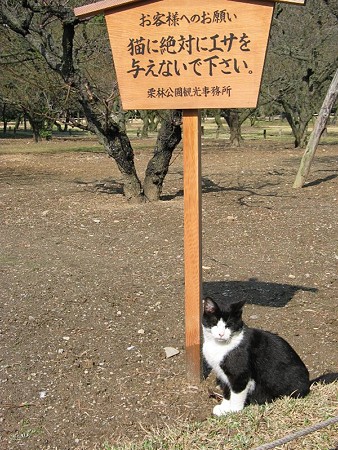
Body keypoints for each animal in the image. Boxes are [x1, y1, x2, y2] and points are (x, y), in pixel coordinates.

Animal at [202, 298, 334, 416]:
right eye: (214, 323)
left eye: (229, 325)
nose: (221, 334)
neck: (218, 346)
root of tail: (308, 383)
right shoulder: (223, 374)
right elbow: (227, 391)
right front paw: (224, 408)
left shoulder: (240, 374)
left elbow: (236, 393)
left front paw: (234, 411)